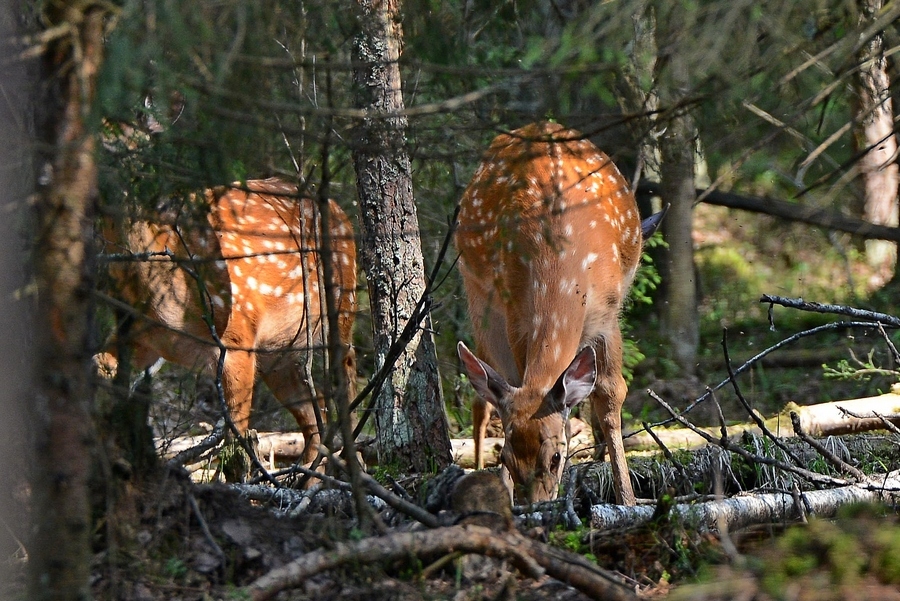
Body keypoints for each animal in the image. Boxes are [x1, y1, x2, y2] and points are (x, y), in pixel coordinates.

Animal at [95, 176, 356, 466]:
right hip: (277, 354)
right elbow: (100, 364)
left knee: (348, 381)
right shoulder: (143, 339)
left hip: (343, 303)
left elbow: (236, 434)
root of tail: (340, 210)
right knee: (315, 412)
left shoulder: (238, 336)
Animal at [458, 122, 660, 506]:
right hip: (480, 300)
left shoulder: (607, 314)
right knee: (484, 392)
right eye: (506, 456)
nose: (536, 507)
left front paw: (627, 498)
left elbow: (610, 394)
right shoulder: (516, 313)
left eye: (555, 456)